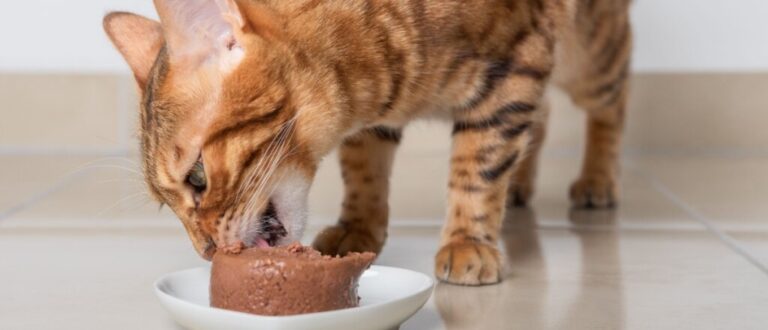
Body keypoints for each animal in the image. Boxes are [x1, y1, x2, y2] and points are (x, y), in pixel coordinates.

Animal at [102, 0, 632, 284]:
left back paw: (597, 180)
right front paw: (358, 227)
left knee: (611, 100)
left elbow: (476, 169)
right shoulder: (376, 119)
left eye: (197, 178)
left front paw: (467, 240)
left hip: (586, 54)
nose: (207, 252)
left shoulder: (513, 71)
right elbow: (363, 169)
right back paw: (521, 184)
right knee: (541, 116)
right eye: (166, 203)